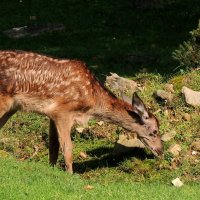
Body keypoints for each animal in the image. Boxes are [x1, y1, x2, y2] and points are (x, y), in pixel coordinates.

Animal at [0, 50, 162, 173]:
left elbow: (53, 147)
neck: (90, 103)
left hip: (11, 108)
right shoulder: (63, 112)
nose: (161, 151)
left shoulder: (52, 114)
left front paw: (52, 169)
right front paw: (70, 175)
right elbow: (68, 149)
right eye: (154, 131)